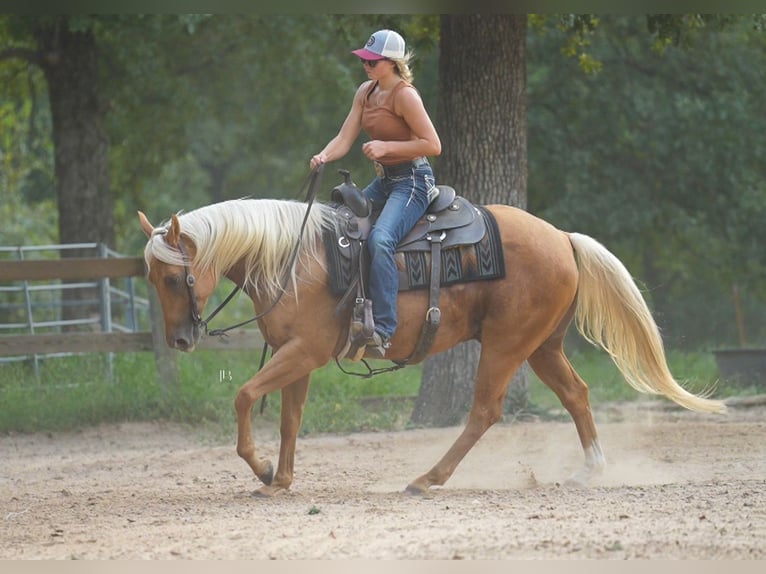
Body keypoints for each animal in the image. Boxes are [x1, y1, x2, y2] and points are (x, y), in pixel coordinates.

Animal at [138, 192, 726, 497]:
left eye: (170, 278)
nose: (181, 339)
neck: (295, 257)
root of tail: (562, 238)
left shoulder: (302, 352)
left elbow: (243, 397)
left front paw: (260, 470)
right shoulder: (295, 358)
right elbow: (289, 420)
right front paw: (278, 480)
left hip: (507, 345)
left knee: (485, 411)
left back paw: (428, 478)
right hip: (542, 346)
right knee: (576, 395)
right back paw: (592, 468)